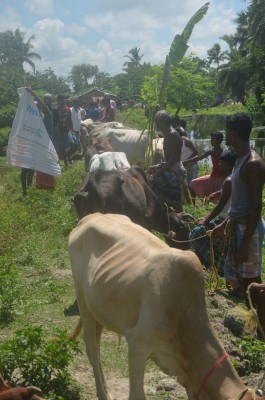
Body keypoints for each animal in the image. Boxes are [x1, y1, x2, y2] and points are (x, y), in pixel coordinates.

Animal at [68, 214, 264, 400]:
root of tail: (90, 217)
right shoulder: (137, 342)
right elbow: (137, 395)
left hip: (99, 307)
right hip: (82, 299)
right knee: (92, 348)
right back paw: (103, 394)